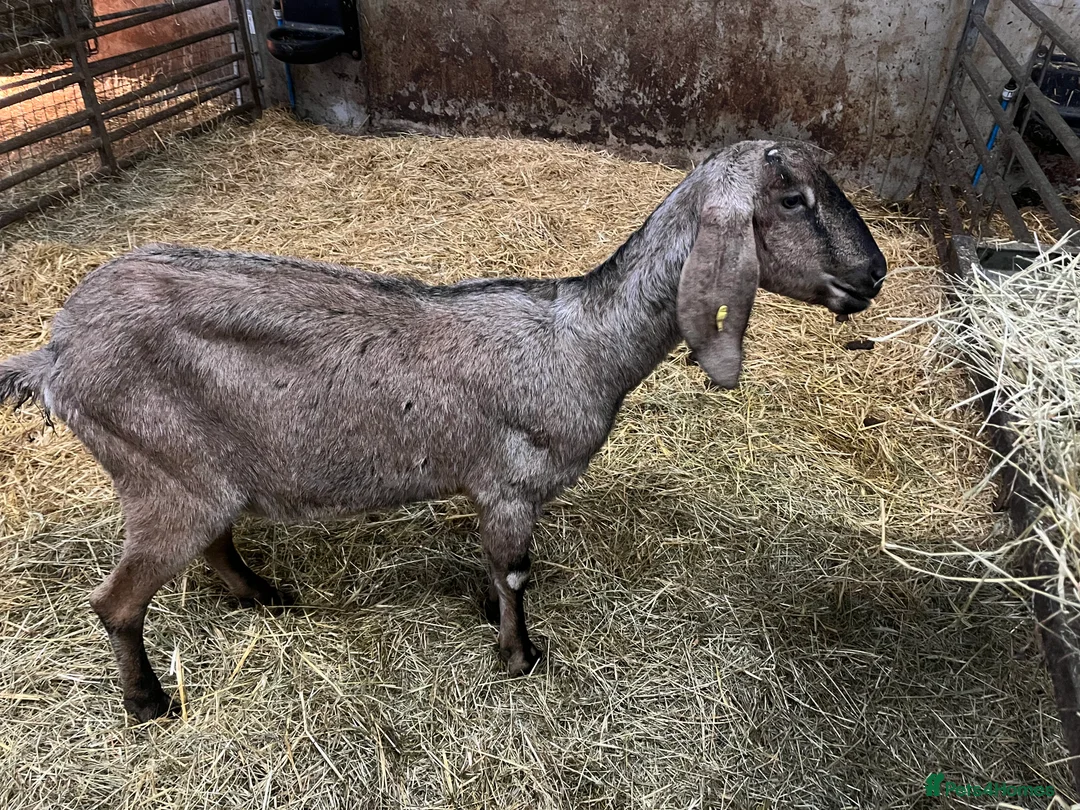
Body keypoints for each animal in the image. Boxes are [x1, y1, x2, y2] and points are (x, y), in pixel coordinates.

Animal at [0, 140, 887, 721]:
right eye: (793, 200)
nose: (873, 276)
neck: (583, 341)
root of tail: (55, 352)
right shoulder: (513, 485)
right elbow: (517, 573)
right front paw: (519, 657)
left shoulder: (489, 491)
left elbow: (495, 571)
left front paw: (490, 617)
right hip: (162, 472)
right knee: (117, 601)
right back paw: (148, 702)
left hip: (202, 473)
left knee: (215, 543)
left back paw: (263, 596)